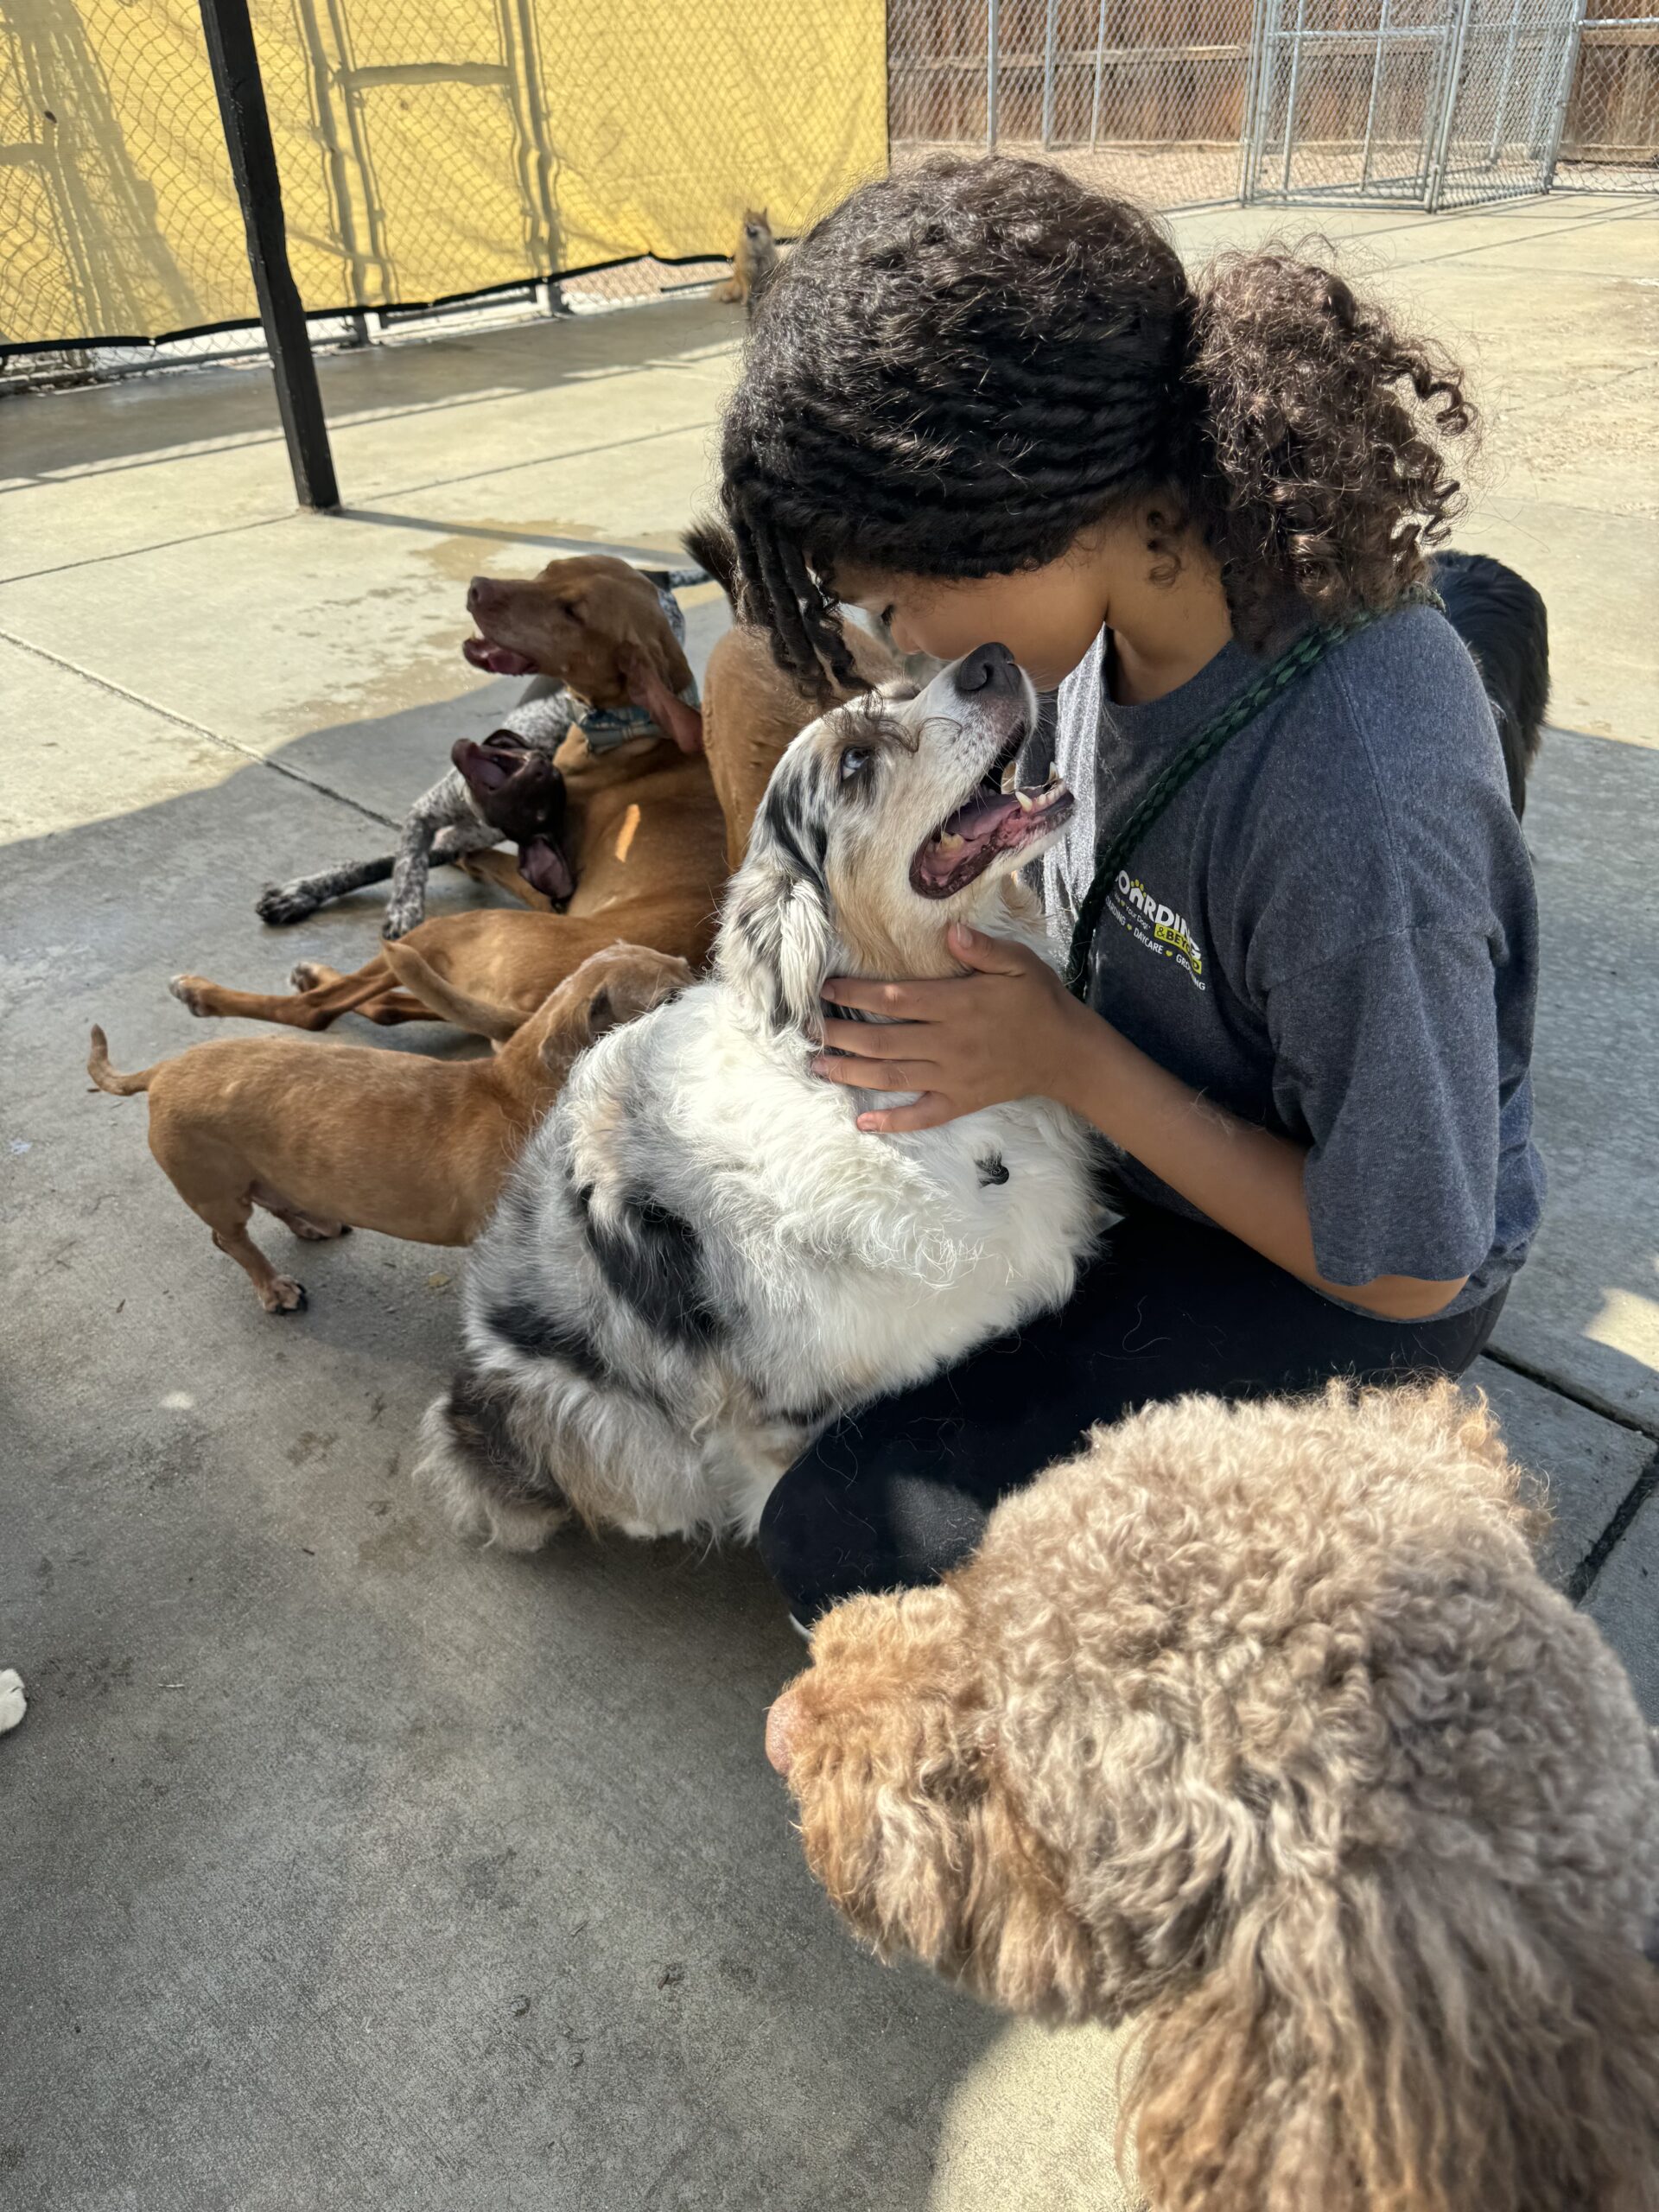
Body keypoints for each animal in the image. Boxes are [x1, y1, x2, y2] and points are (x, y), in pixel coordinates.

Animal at [92, 938, 690, 1309]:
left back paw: (309, 1222)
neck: (513, 1091)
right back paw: (272, 1286)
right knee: (230, 1239)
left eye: (689, 967)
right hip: (215, 1190)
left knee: (274, 1201)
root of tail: (161, 1071)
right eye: (671, 1000)